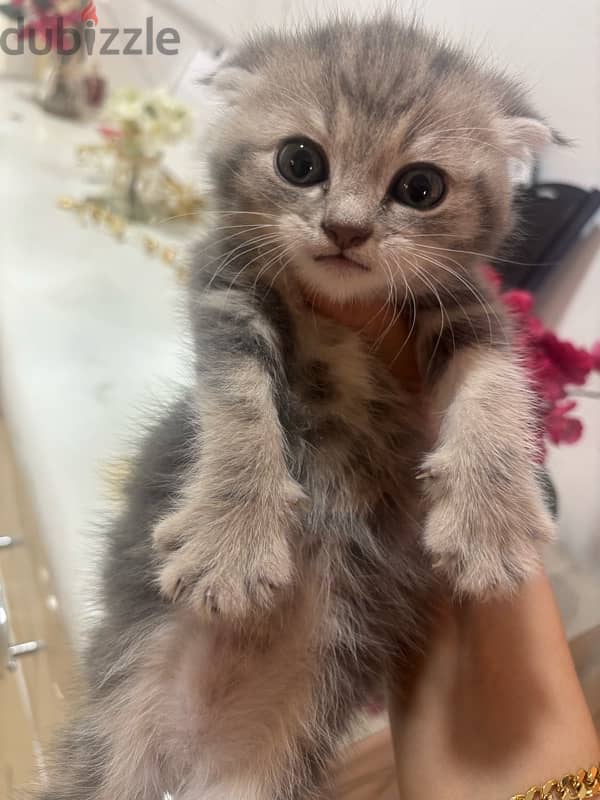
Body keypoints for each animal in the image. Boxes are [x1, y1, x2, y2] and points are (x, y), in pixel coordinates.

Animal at [32, 17, 556, 800]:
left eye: (421, 187)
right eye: (300, 162)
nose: (346, 228)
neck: (342, 315)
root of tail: (188, 753)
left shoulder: (473, 307)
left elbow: (499, 387)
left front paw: (493, 521)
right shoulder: (226, 283)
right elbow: (237, 406)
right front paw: (230, 541)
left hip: (271, 767)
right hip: (110, 742)